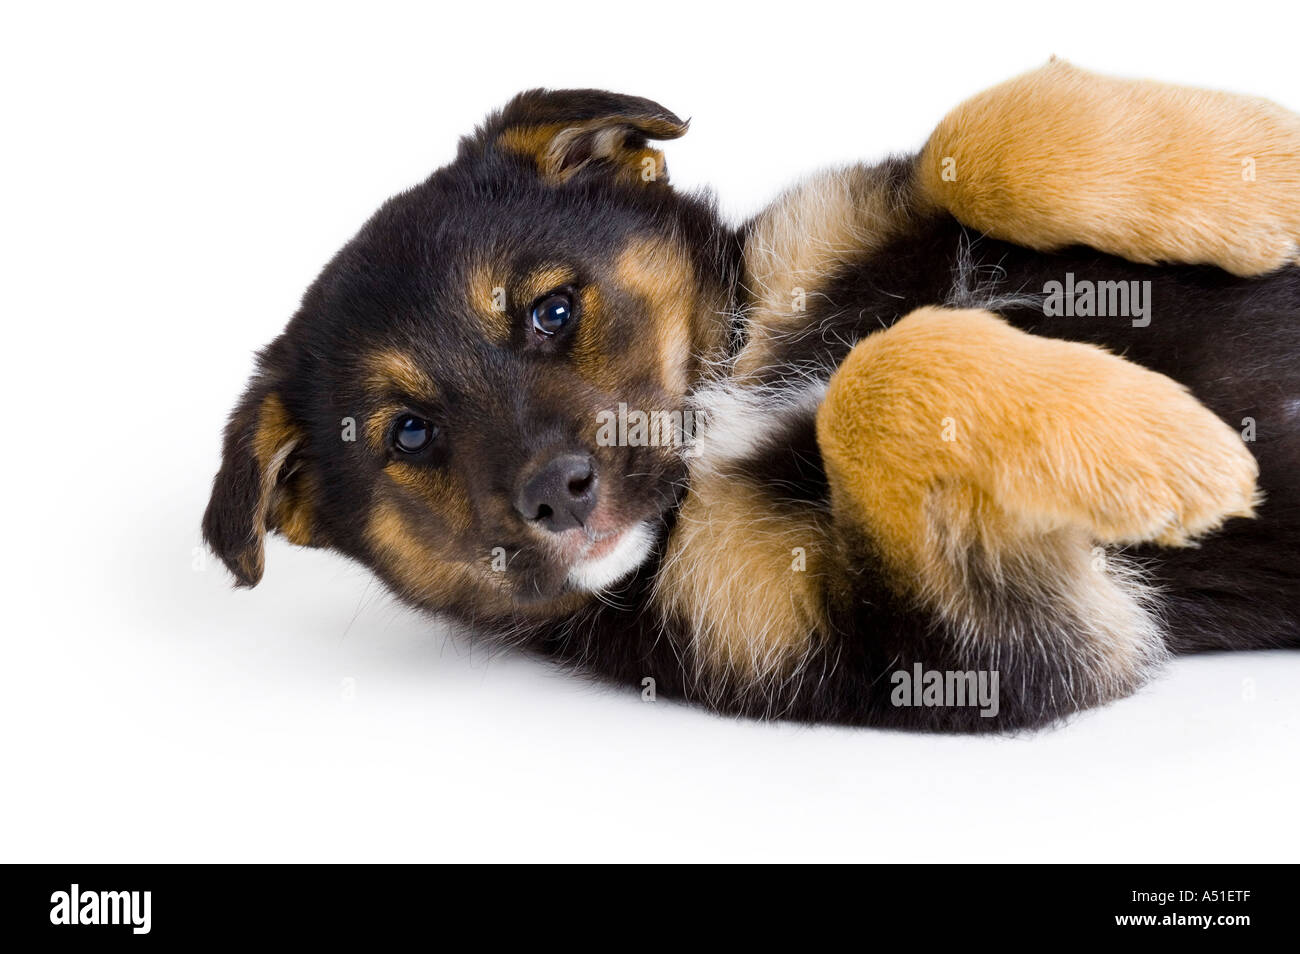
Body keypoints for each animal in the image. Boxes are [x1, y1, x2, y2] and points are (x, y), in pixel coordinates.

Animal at [202, 61, 1300, 733]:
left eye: (552, 311)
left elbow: (987, 137)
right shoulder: (991, 642)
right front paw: (1160, 443)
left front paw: (1271, 168)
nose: (557, 494)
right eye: (410, 435)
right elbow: (872, 382)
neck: (723, 392)